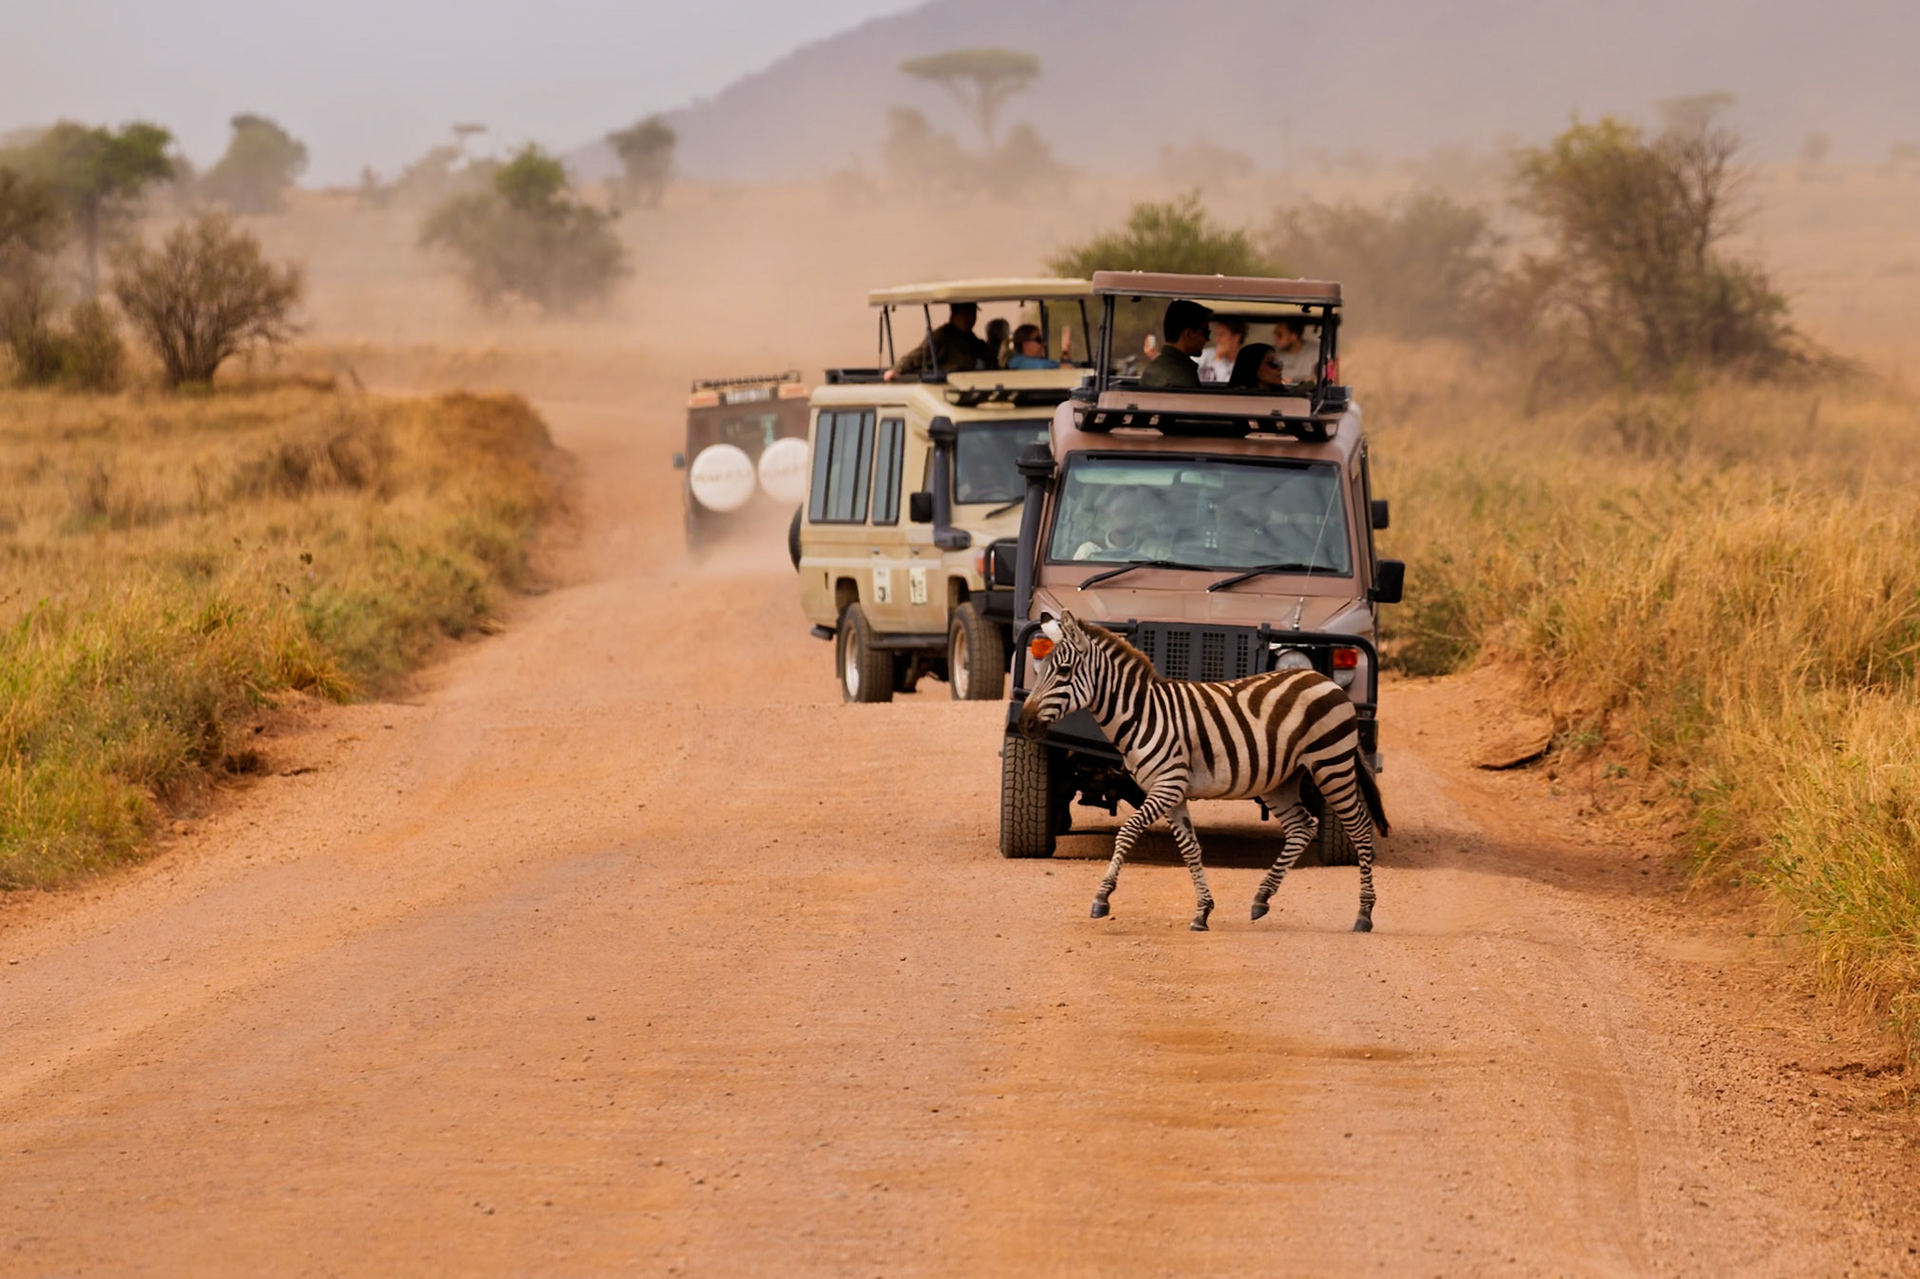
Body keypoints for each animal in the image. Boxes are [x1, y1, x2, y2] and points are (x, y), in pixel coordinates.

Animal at [1014, 611, 1389, 933]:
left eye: (1064, 671)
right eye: (1041, 669)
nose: (1025, 723)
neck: (1142, 714)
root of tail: (1323, 679)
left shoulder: (1167, 785)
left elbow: (1127, 832)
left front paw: (1102, 898)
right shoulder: (1172, 792)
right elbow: (1191, 848)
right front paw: (1202, 912)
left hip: (1330, 764)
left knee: (1359, 828)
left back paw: (1364, 914)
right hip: (1281, 779)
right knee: (1302, 827)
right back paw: (1261, 898)